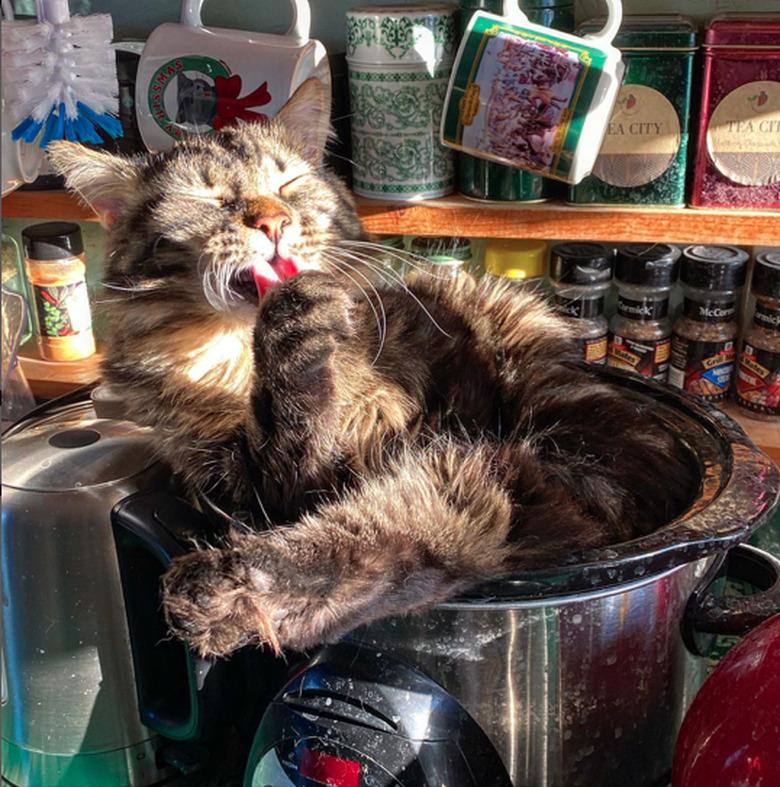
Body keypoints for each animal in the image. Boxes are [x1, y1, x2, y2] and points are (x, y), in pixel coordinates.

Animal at [47, 78, 696, 660]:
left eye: (288, 184)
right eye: (212, 202)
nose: (273, 222)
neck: (231, 354)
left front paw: (303, 315)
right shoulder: (234, 482)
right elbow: (285, 439)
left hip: (543, 442)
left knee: (392, 538)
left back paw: (224, 593)